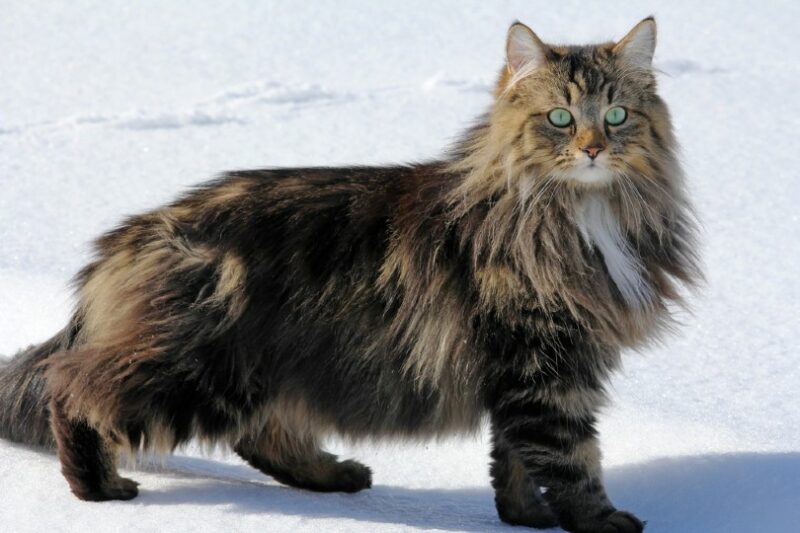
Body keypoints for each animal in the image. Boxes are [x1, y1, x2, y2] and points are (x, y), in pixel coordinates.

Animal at [0, 16, 696, 532]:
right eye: (559, 117)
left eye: (616, 116)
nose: (592, 148)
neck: (580, 214)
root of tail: (125, 240)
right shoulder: (542, 363)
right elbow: (569, 455)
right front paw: (599, 521)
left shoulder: (534, 368)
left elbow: (517, 459)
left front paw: (527, 518)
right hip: (197, 366)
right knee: (74, 389)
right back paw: (101, 488)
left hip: (251, 370)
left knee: (260, 436)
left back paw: (337, 476)